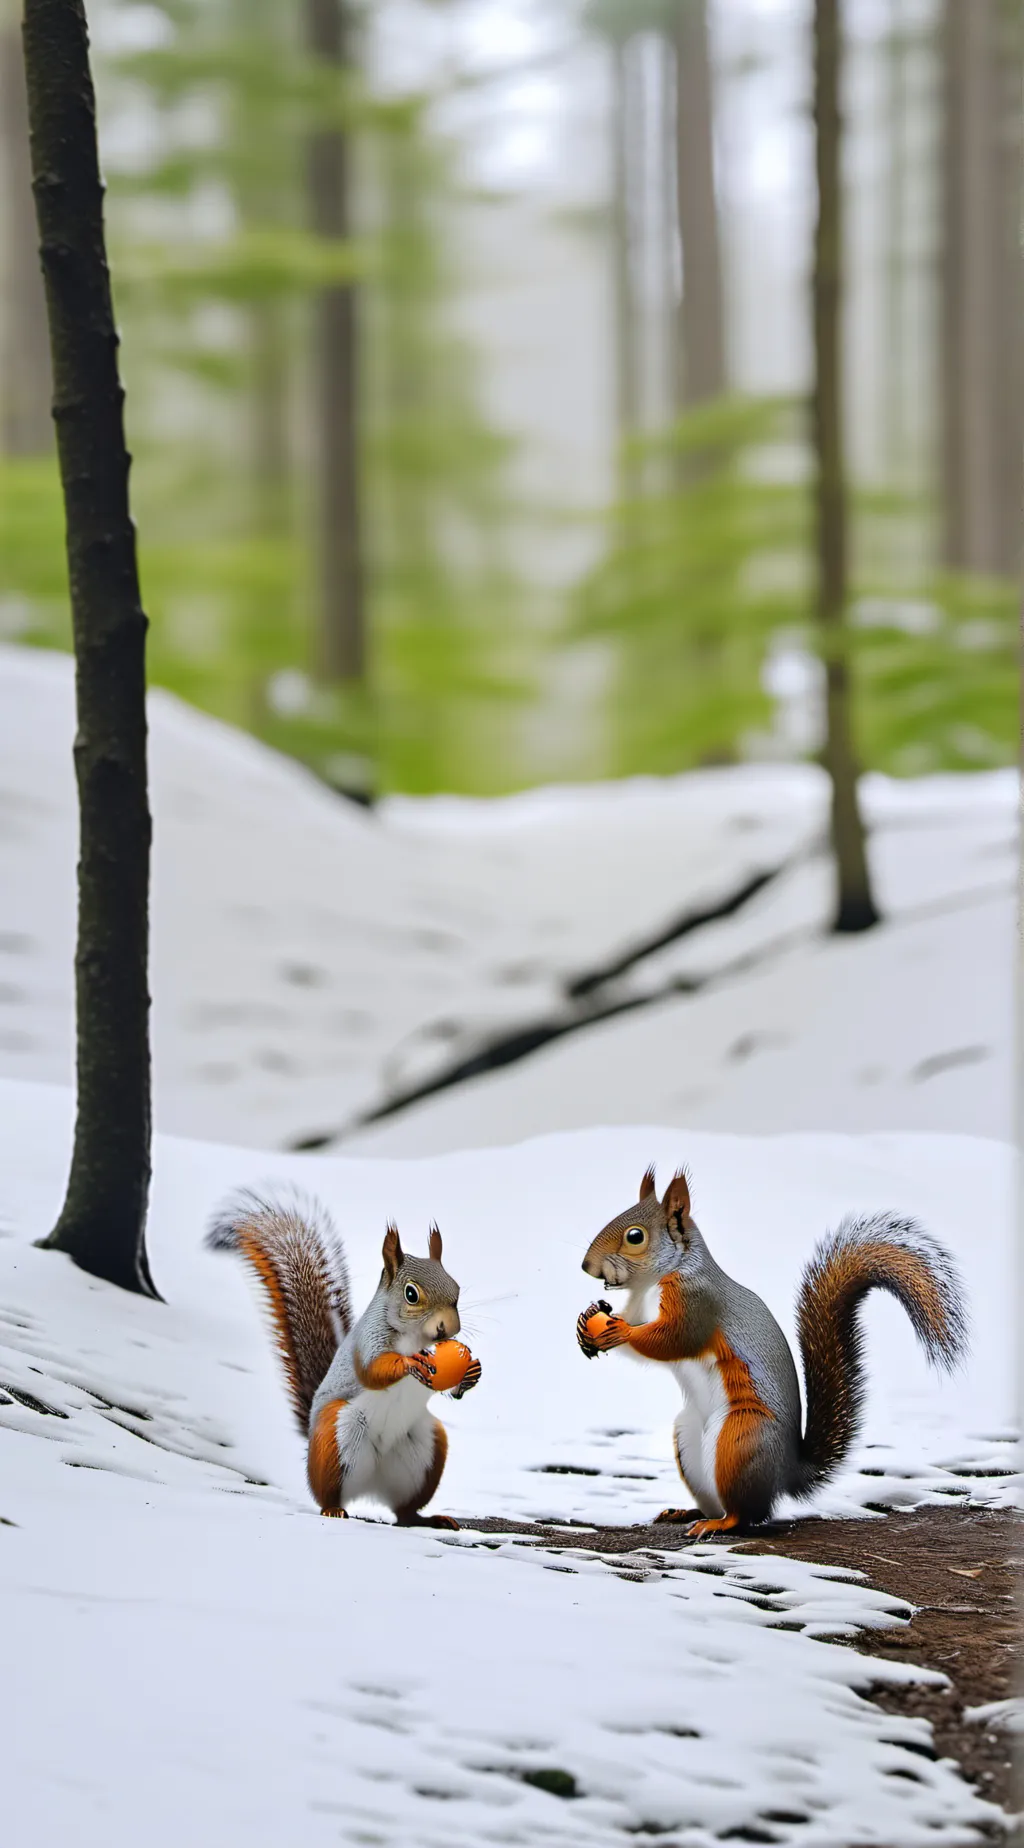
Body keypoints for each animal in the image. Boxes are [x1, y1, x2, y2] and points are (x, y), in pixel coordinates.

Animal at [207, 1189, 481, 1528]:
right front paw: (408, 1363)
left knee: (403, 1512)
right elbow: (372, 1371)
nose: (449, 1328)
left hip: (424, 1451)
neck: (417, 1338)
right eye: (411, 1294)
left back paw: (426, 1519)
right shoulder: (367, 1342)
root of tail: (373, 1486)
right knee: (328, 1492)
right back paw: (333, 1509)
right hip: (337, 1436)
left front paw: (471, 1372)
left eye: (456, 1288)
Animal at [577, 1164, 967, 1538]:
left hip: (741, 1438)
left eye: (635, 1236)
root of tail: (786, 1472)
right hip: (688, 1439)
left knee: (749, 1514)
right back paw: (688, 1513)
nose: (587, 1267)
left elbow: (674, 1340)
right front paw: (586, 1326)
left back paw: (720, 1524)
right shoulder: (641, 1306)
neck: (655, 1281)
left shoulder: (697, 1302)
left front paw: (621, 1330)